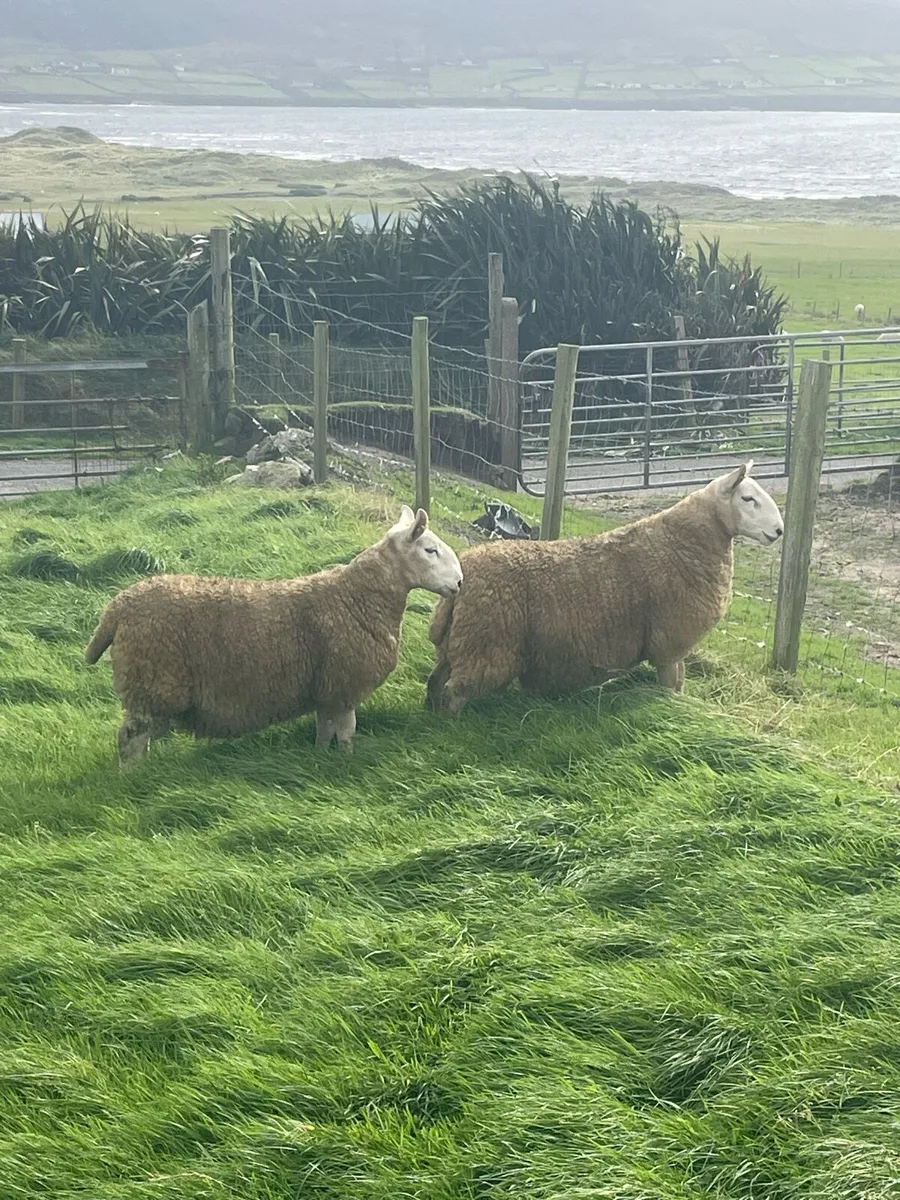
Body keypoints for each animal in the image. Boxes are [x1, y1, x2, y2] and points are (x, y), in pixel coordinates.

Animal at [85, 505, 462, 765]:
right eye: (430, 550)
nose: (459, 583)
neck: (355, 598)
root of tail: (117, 608)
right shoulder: (344, 687)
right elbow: (346, 734)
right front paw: (346, 762)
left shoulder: (326, 688)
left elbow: (324, 730)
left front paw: (320, 759)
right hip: (151, 683)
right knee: (130, 739)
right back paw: (135, 777)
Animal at [426, 462, 782, 714]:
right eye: (748, 499)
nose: (779, 531)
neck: (684, 542)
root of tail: (463, 576)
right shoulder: (669, 642)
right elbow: (672, 686)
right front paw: (672, 710)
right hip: (485, 645)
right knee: (454, 692)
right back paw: (451, 726)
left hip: (458, 643)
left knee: (435, 681)